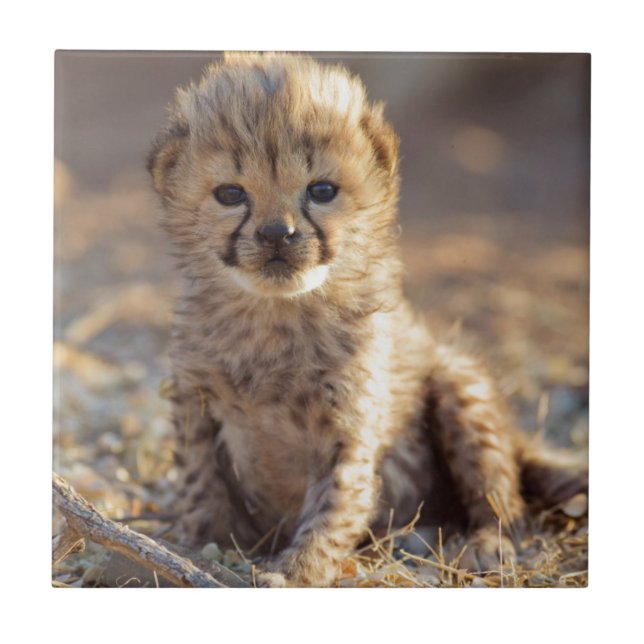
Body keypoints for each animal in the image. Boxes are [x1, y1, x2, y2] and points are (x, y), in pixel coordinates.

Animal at [147, 52, 587, 587]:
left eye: (321, 190)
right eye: (230, 194)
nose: (277, 234)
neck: (276, 317)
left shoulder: (348, 429)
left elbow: (334, 507)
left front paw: (295, 571)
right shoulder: (195, 403)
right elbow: (200, 484)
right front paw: (202, 545)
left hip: (460, 385)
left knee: (503, 498)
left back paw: (482, 545)